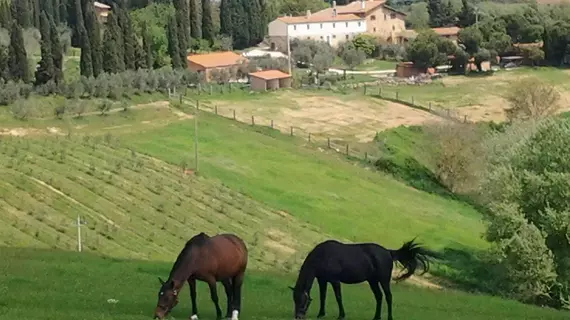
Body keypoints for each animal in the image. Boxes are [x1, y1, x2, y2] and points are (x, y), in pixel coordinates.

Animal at [290, 239, 438, 318]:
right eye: (294, 300)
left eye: (302, 301)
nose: (298, 316)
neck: (324, 255)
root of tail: (388, 252)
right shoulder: (322, 280)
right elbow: (323, 296)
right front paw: (321, 314)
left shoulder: (335, 280)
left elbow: (338, 297)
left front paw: (341, 315)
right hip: (372, 281)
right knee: (379, 297)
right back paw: (376, 317)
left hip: (383, 280)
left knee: (388, 297)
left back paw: (389, 317)